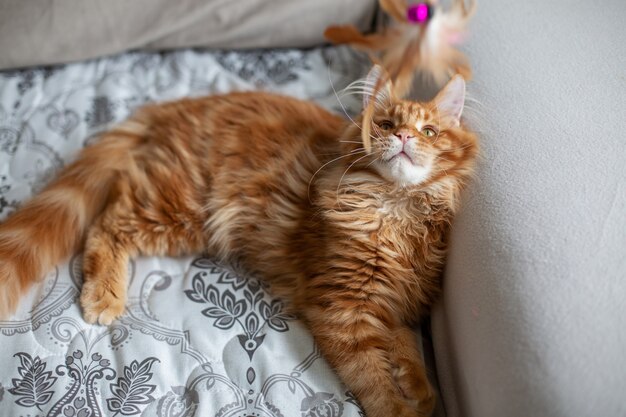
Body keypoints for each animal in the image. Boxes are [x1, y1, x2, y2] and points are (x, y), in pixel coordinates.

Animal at [0, 66, 476, 416]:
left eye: (429, 132)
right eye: (385, 123)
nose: (404, 137)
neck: (395, 211)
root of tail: (180, 104)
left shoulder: (395, 305)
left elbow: (407, 348)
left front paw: (421, 391)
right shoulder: (341, 308)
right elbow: (373, 380)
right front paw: (402, 406)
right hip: (177, 204)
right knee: (106, 224)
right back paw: (104, 295)